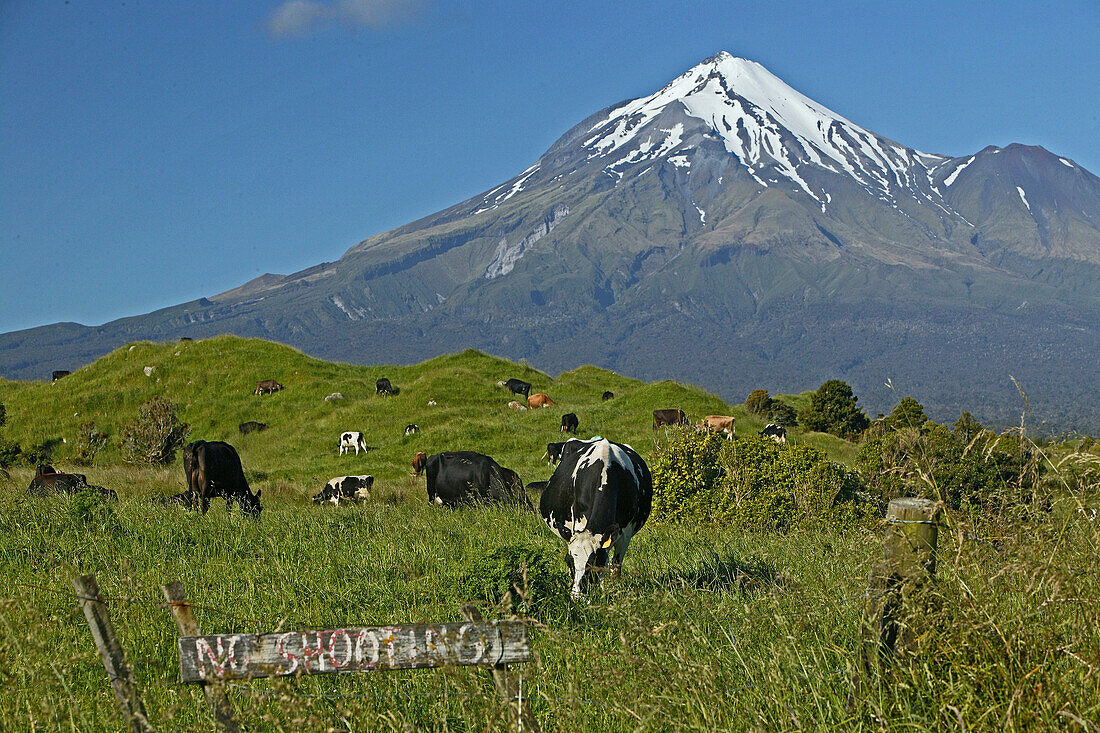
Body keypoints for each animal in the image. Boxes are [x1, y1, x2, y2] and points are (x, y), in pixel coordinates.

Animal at [541, 435, 651, 598]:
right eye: (569, 561)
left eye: (593, 563)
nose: (577, 596)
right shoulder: (579, 523)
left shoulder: (625, 533)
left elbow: (615, 564)